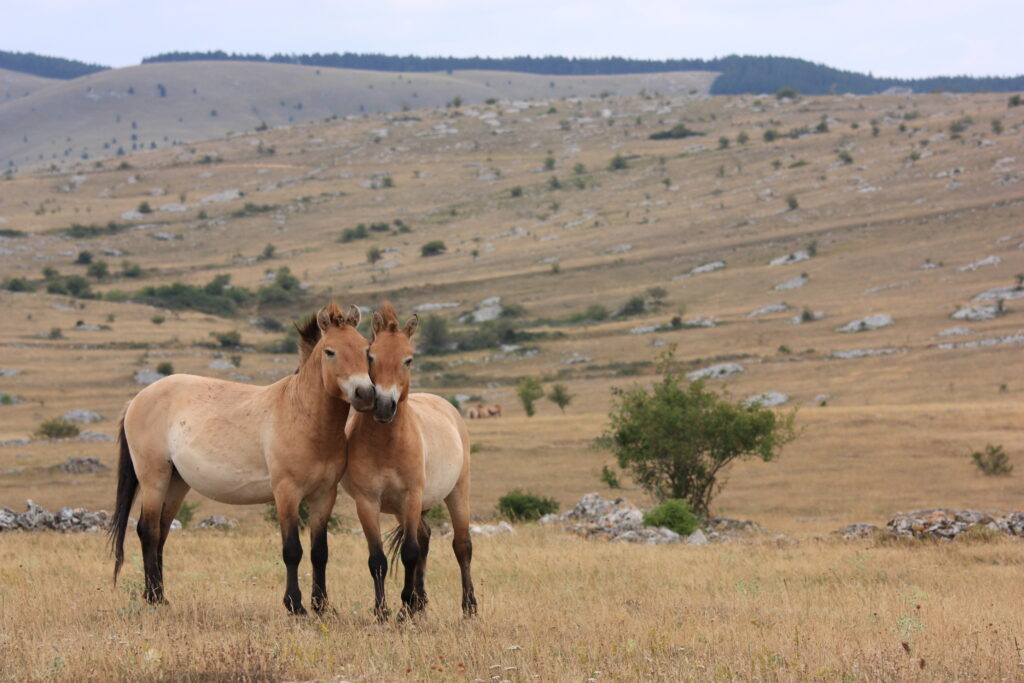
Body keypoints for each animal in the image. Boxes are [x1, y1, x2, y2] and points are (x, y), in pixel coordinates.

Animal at [108, 302, 374, 615]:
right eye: (330, 351)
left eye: (366, 349)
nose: (365, 393)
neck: (302, 414)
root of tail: (137, 399)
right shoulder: (287, 493)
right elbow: (292, 550)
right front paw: (295, 605)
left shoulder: (324, 495)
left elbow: (320, 552)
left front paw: (322, 606)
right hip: (154, 479)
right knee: (147, 531)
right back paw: (153, 598)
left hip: (176, 483)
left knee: (160, 533)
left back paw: (161, 597)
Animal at [342, 303, 477, 620]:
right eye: (370, 355)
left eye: (409, 359)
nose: (383, 405)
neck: (388, 445)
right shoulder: (368, 502)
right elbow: (378, 558)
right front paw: (384, 611)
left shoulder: (412, 496)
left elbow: (409, 553)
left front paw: (404, 604)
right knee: (425, 537)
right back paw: (420, 603)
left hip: (457, 491)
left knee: (461, 545)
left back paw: (469, 607)